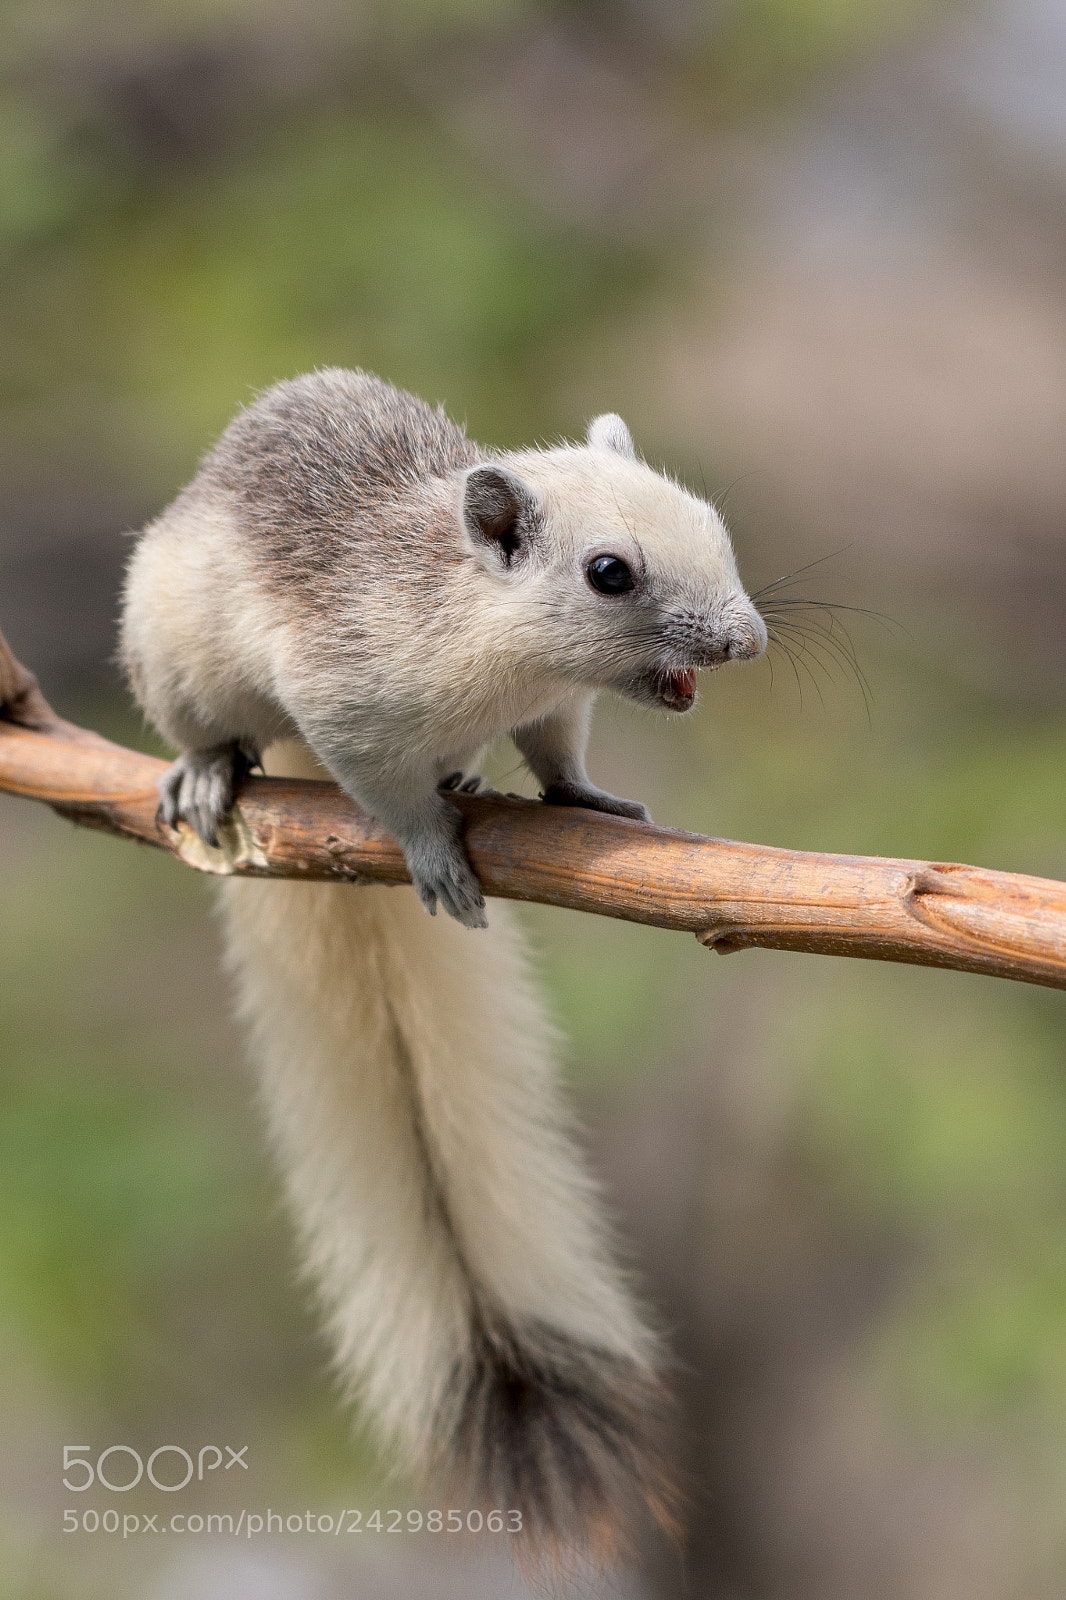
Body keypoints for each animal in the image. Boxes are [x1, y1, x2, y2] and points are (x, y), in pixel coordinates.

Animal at [120, 369, 766, 1566]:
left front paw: (590, 800)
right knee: (214, 729)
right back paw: (207, 774)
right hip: (176, 650)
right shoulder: (345, 712)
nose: (744, 640)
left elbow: (559, 757)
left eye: (713, 523)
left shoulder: (556, 706)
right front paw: (435, 858)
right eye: (609, 572)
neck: (498, 654)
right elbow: (392, 798)